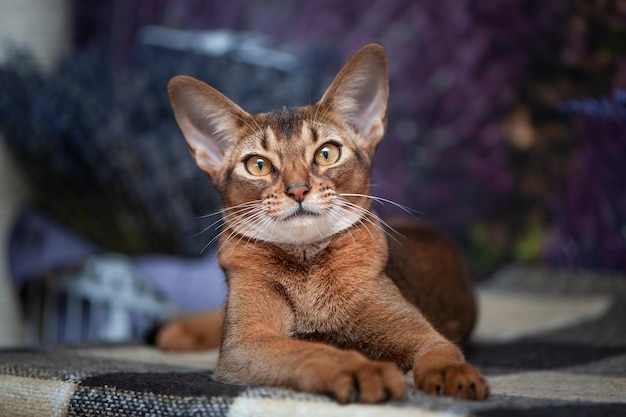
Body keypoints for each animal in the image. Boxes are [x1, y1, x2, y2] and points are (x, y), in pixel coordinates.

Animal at [158, 43, 490, 404]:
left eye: (326, 153)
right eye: (258, 165)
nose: (297, 189)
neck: (307, 271)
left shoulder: (423, 334)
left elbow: (442, 351)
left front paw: (453, 373)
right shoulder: (245, 343)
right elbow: (310, 350)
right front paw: (361, 369)